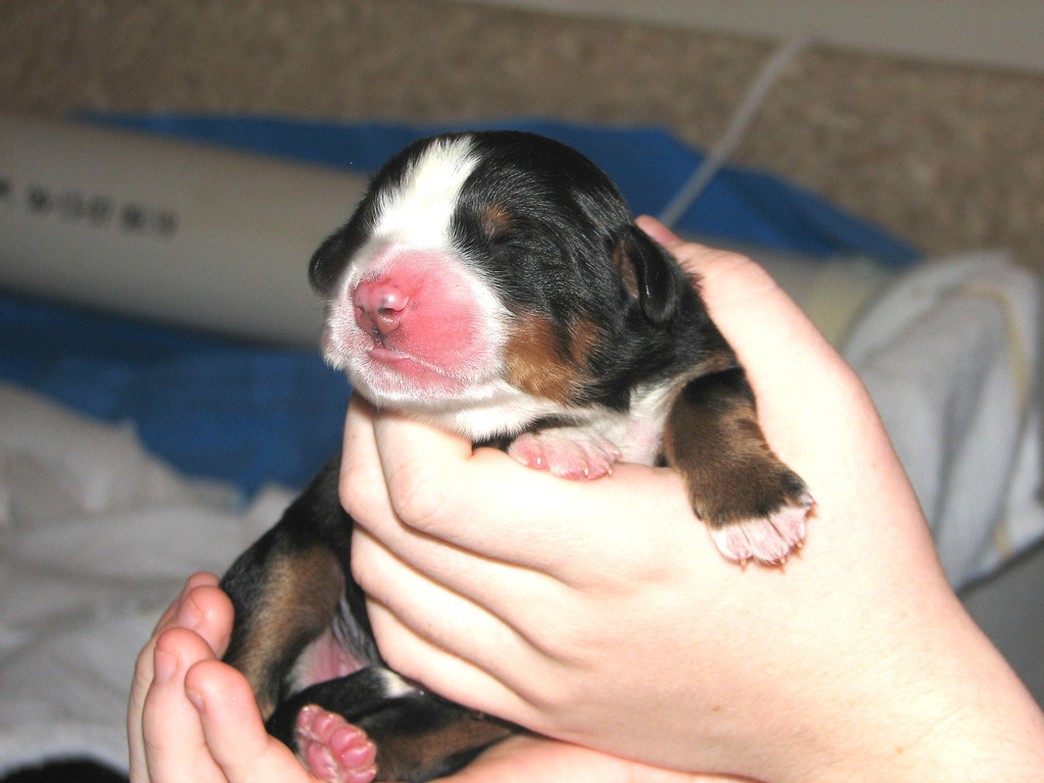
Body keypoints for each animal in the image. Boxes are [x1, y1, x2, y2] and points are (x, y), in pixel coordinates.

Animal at [220, 130, 810, 783]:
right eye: (364, 233)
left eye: (512, 244)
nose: (374, 297)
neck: (595, 399)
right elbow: (494, 422)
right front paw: (563, 441)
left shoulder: (699, 354)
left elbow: (705, 399)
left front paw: (755, 506)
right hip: (293, 554)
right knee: (255, 648)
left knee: (436, 729)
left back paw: (343, 747)